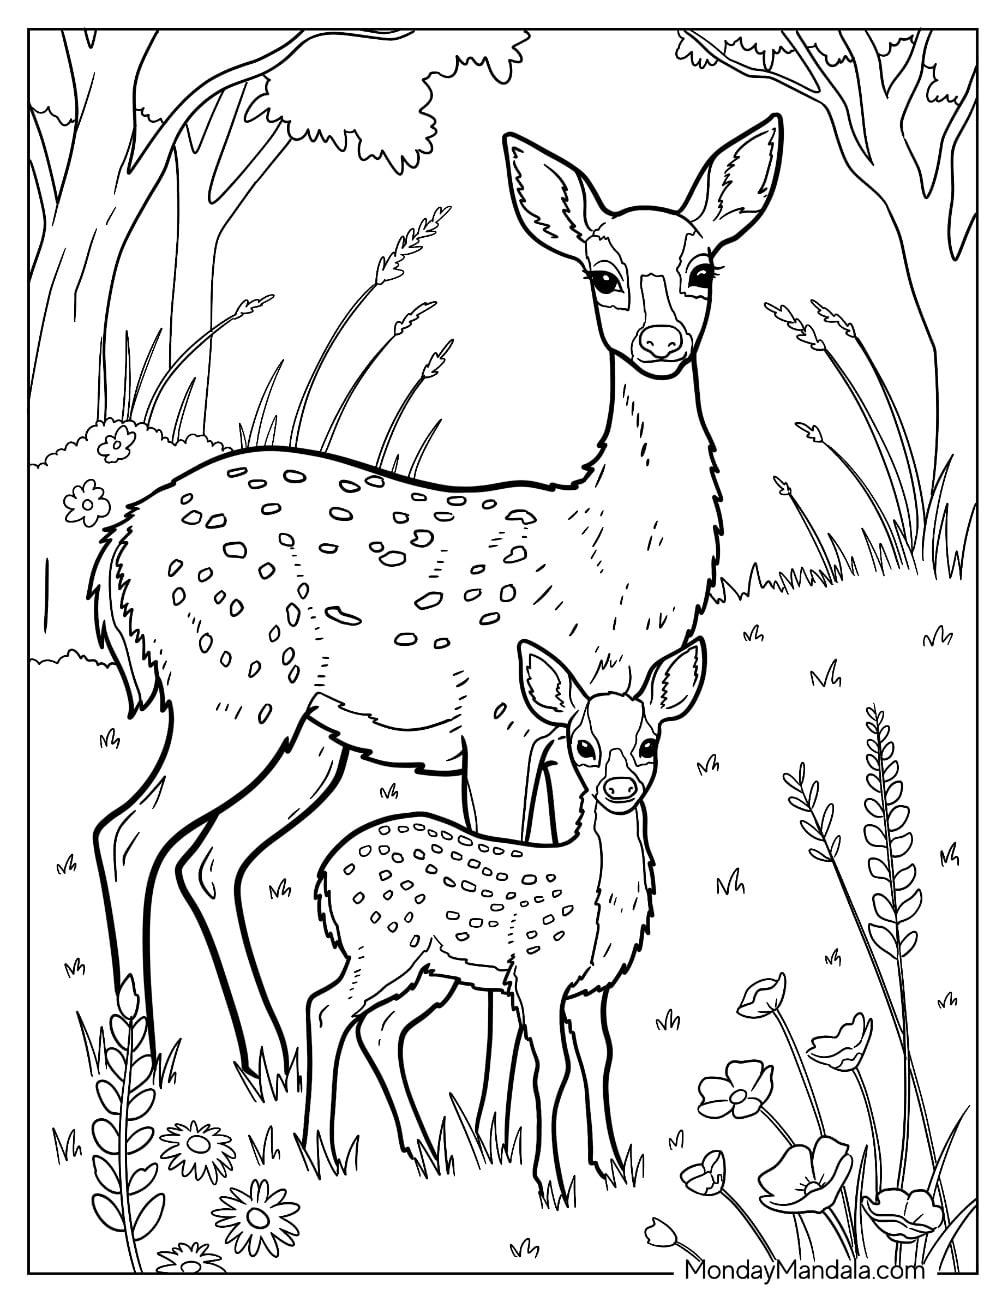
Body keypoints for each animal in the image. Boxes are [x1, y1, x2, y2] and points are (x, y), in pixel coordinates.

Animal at [304, 636, 706, 1200]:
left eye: (649, 744)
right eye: (583, 747)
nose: (620, 788)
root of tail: (325, 874)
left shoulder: (592, 989)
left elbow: (599, 1059)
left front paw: (612, 1168)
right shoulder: (538, 975)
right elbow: (553, 1067)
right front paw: (552, 1183)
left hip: (430, 968)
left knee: (381, 1027)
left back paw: (425, 1150)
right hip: (382, 947)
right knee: (326, 1008)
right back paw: (322, 1153)